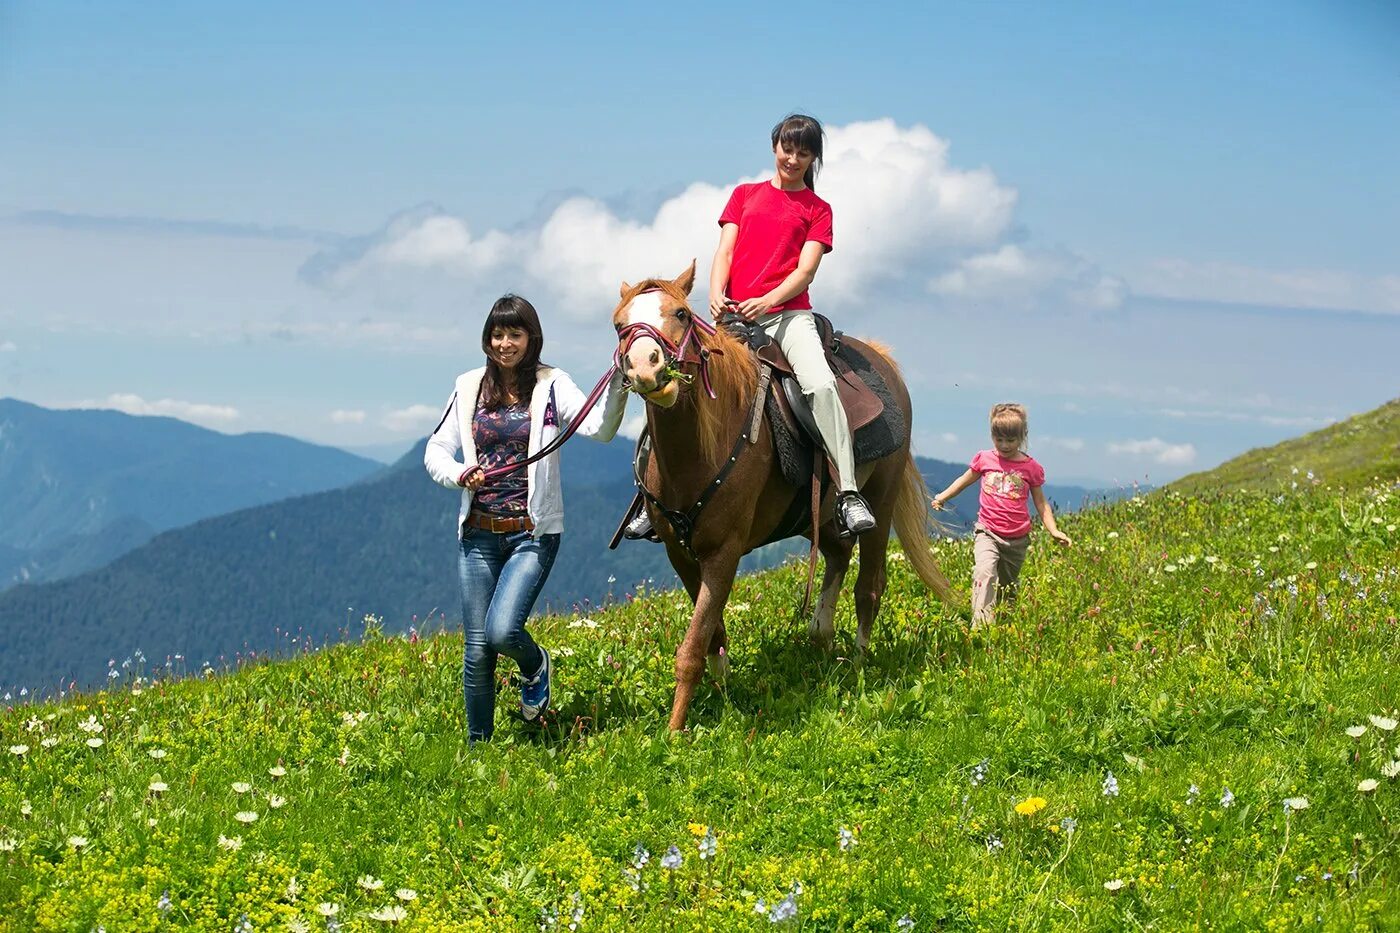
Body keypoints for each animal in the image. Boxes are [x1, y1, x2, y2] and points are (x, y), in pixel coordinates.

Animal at [613, 259, 952, 728]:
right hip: (818, 514)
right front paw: (720, 694)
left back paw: (860, 664)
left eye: (681, 314)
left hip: (881, 500)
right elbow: (711, 631)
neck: (702, 446)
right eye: (618, 325)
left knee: (869, 585)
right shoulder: (679, 553)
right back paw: (822, 638)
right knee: (837, 556)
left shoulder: (725, 552)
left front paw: (675, 731)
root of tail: (882, 360)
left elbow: (693, 645)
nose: (646, 367)